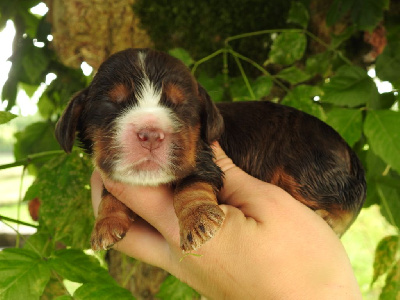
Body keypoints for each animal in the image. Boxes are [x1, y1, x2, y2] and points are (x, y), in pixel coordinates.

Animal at [55, 48, 366, 252]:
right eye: (112, 103)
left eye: (180, 105)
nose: (151, 134)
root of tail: (348, 150)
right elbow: (111, 194)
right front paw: (105, 224)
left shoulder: (202, 159)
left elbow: (191, 187)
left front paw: (198, 221)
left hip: (305, 171)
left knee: (346, 199)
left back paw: (331, 218)